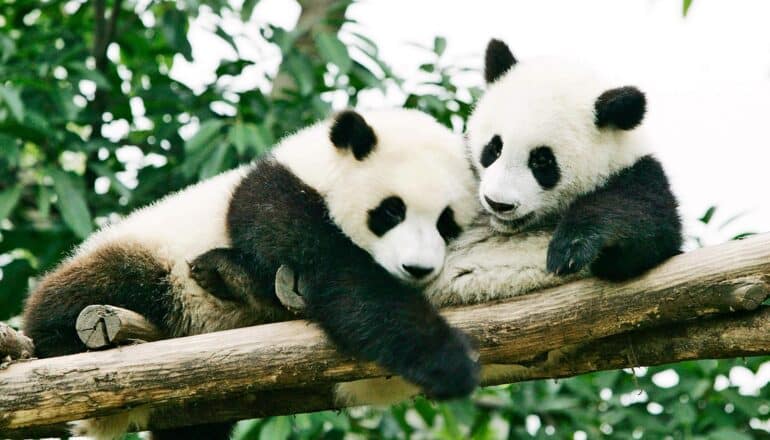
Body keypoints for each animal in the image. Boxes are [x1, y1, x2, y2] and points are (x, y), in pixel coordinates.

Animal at [22, 108, 480, 438]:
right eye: (390, 212)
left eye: (446, 223)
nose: (417, 268)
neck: (316, 166)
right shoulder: (272, 197)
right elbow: (339, 277)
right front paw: (448, 360)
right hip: (149, 257)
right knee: (87, 291)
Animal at [192, 38, 680, 406]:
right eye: (493, 148)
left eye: (543, 162)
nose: (498, 203)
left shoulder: (639, 176)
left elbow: (645, 235)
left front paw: (575, 244)